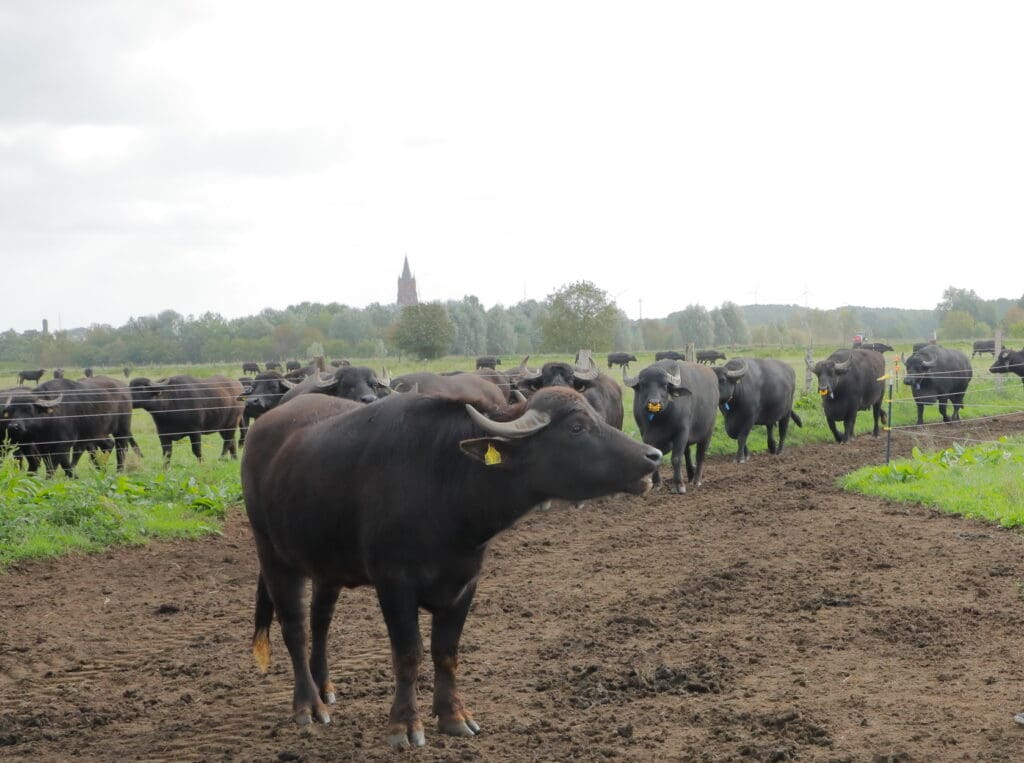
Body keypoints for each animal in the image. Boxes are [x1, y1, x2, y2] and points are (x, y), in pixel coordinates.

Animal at [1, 372, 139, 473]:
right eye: (10, 411)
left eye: (29, 409)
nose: (13, 426)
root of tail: (124, 389)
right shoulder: (42, 446)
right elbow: (51, 465)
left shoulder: (63, 445)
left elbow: (61, 465)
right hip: (97, 433)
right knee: (107, 445)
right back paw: (101, 468)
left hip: (122, 429)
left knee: (121, 449)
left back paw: (118, 471)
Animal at [240, 387, 659, 745]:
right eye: (576, 427)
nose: (653, 455)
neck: (445, 481)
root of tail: (261, 430)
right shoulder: (393, 584)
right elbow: (409, 654)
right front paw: (404, 726)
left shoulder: (465, 583)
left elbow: (446, 651)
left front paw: (454, 716)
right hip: (273, 555)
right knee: (295, 628)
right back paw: (308, 705)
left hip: (327, 565)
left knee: (320, 622)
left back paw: (325, 688)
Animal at [618, 358, 716, 491]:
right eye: (643, 384)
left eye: (664, 385)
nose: (654, 402)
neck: (660, 420)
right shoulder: (645, 434)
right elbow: (655, 458)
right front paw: (657, 483)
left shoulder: (682, 431)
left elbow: (676, 458)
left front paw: (679, 485)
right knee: (687, 453)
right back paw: (690, 476)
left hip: (707, 432)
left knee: (700, 455)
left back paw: (696, 480)